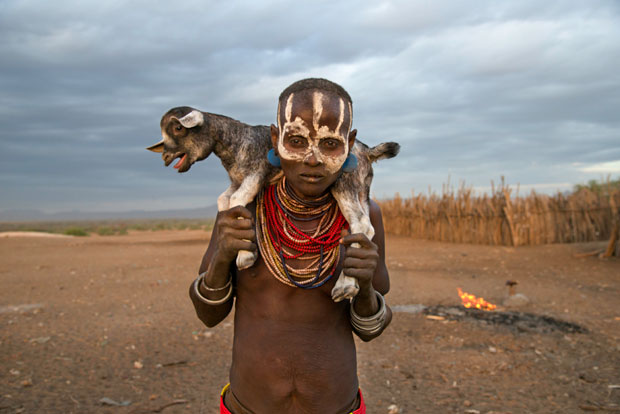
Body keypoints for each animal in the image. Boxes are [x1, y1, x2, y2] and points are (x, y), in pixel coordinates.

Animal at [148, 106, 400, 300]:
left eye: (178, 128)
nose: (165, 157)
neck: (237, 141)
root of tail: (367, 151)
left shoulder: (256, 174)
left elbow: (237, 199)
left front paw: (245, 257)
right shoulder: (236, 181)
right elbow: (224, 201)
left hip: (344, 183)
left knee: (361, 223)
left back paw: (344, 285)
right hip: (361, 190)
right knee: (367, 226)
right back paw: (353, 286)